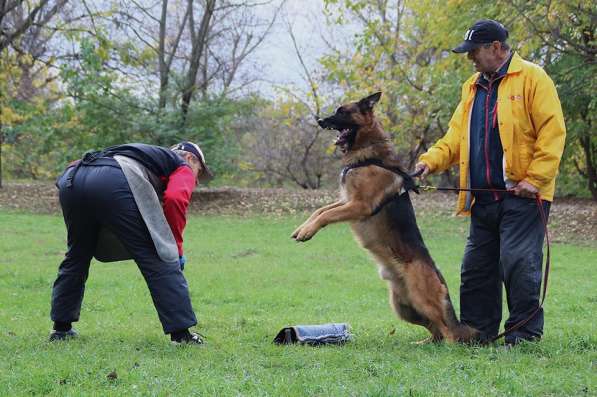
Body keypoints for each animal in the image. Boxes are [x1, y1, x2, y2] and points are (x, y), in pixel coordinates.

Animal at [292, 91, 478, 342]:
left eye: (342, 111)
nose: (320, 121)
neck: (368, 153)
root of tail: (440, 281)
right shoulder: (347, 200)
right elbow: (320, 210)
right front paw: (303, 228)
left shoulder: (359, 205)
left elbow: (326, 215)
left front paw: (307, 231)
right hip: (403, 307)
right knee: (436, 330)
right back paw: (423, 342)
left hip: (422, 300)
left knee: (448, 332)